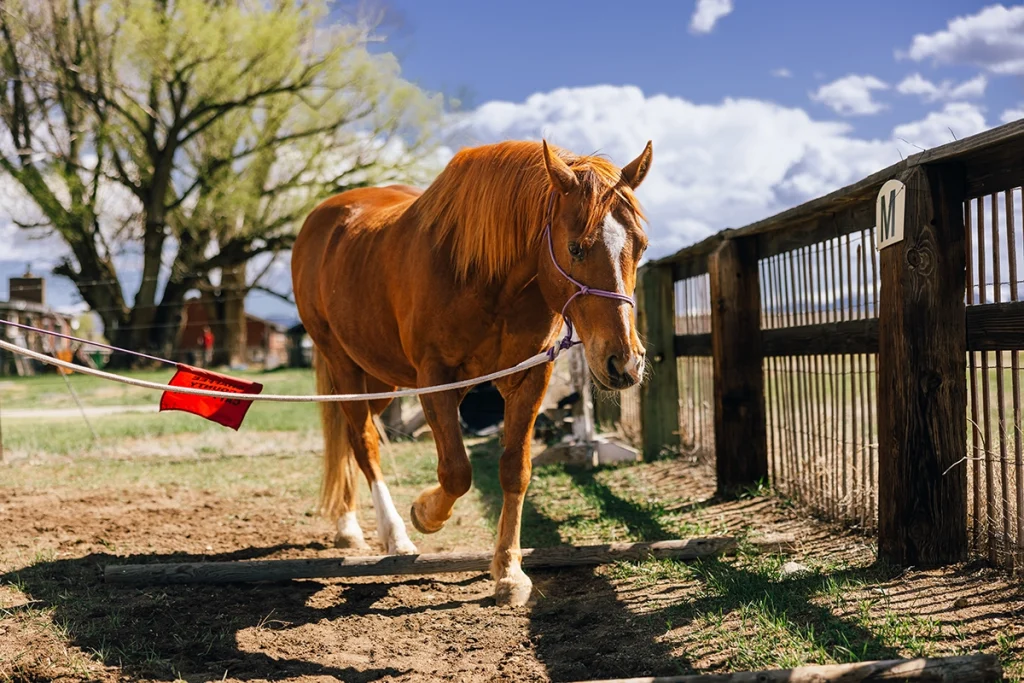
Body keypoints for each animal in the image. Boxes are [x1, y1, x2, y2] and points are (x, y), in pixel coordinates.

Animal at [291, 138, 652, 606]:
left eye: (641, 246)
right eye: (575, 247)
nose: (625, 361)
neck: (485, 277)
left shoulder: (529, 379)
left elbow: (515, 470)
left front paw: (509, 572)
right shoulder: (435, 379)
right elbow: (456, 472)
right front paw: (425, 513)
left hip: (381, 378)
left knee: (352, 439)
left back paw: (351, 525)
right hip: (343, 365)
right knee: (364, 442)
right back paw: (391, 535)